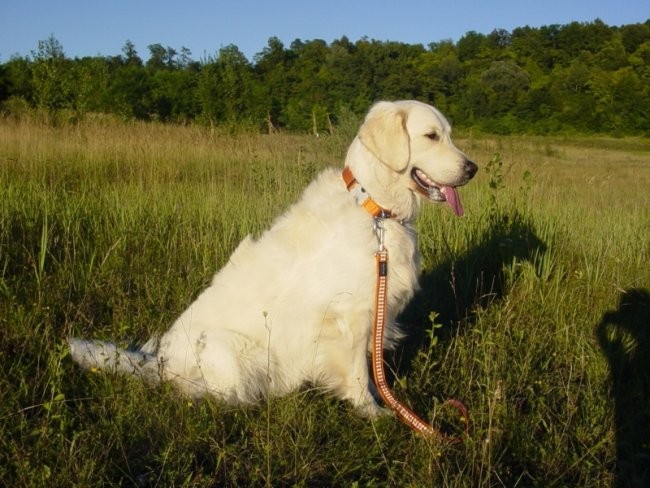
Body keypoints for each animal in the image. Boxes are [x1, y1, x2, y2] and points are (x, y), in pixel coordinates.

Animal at [69, 101, 476, 418]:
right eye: (431, 136)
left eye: (449, 134)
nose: (472, 168)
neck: (374, 207)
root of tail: (161, 363)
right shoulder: (350, 316)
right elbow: (360, 372)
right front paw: (373, 412)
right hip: (228, 351)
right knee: (206, 396)